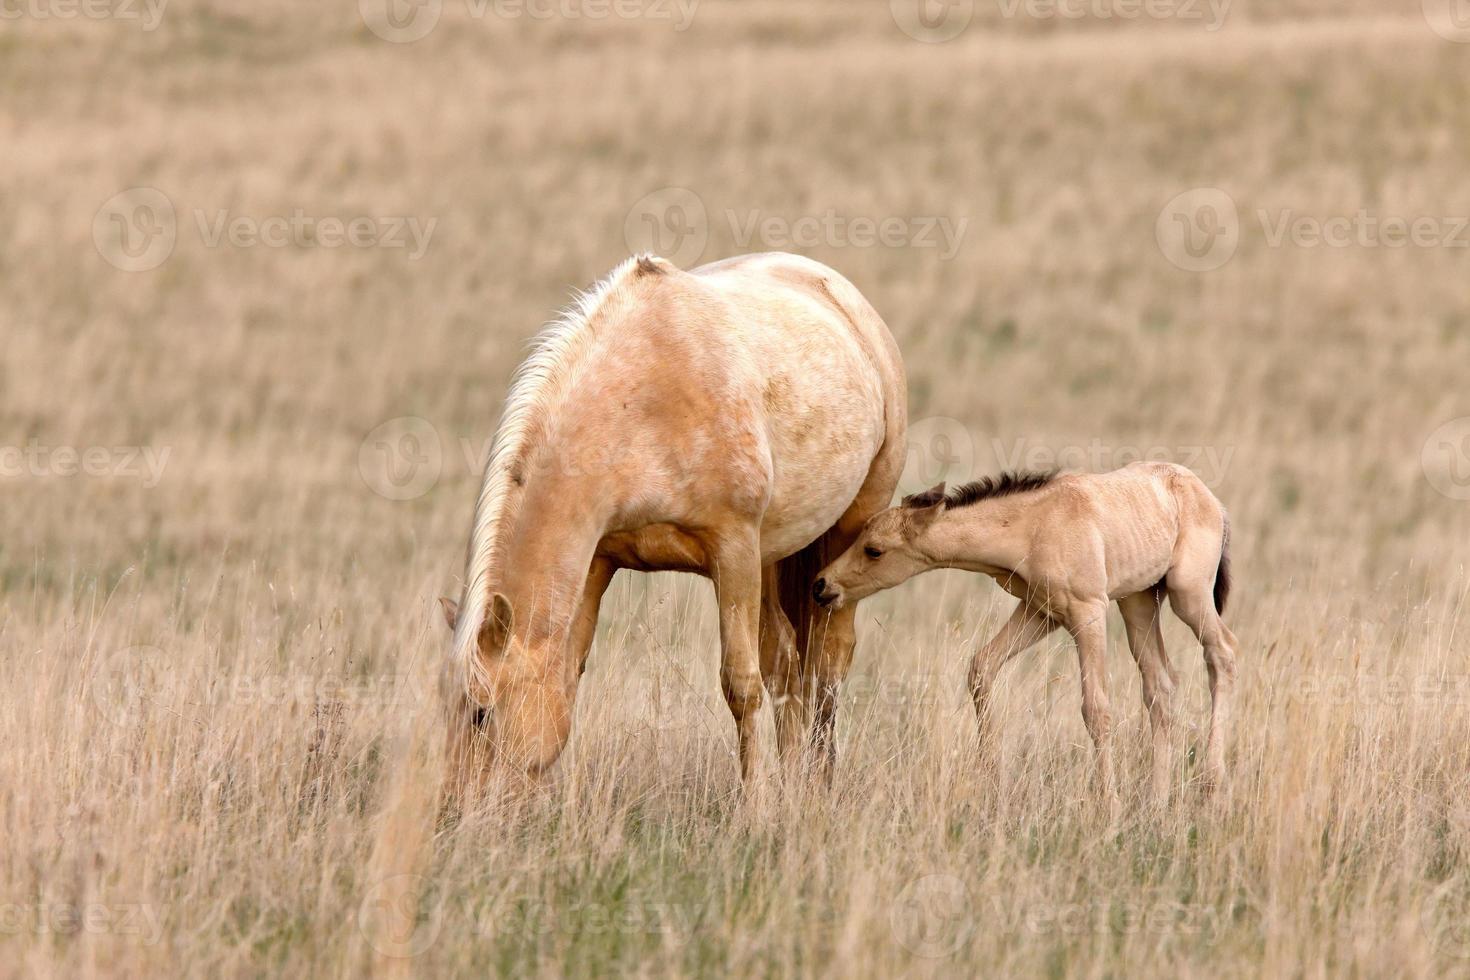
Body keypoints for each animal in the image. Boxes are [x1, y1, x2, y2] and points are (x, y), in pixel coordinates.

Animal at [435, 251, 905, 787]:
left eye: (481, 713)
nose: (455, 804)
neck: (643, 404)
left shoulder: (733, 553)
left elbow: (741, 687)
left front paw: (757, 802)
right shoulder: (598, 563)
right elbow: (568, 678)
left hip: (845, 538)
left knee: (828, 662)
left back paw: (819, 782)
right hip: (772, 557)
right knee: (786, 659)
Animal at [817, 464, 1240, 811]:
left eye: (874, 550)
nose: (822, 585)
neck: (1033, 523)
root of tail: (1211, 500)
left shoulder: (1088, 613)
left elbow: (1096, 709)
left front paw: (1109, 804)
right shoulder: (1041, 613)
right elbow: (981, 666)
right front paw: (990, 775)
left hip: (1188, 594)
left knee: (1223, 652)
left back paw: (1212, 787)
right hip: (1138, 604)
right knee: (1160, 685)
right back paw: (1157, 799)